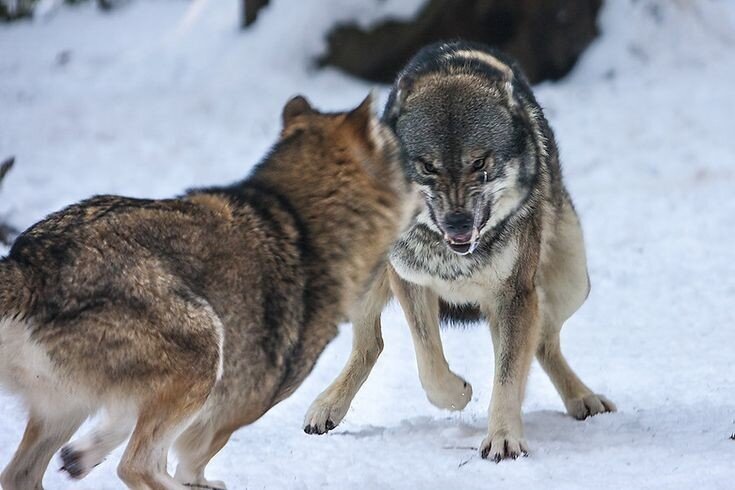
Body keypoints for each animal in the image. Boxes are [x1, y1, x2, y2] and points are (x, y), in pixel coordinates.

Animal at [0, 94, 414, 488]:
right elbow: (190, 462)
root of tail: (31, 264)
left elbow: (116, 426)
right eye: (399, 155)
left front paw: (80, 456)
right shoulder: (232, 410)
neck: (300, 225)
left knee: (20, 474)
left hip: (63, 411)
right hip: (205, 346)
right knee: (136, 466)